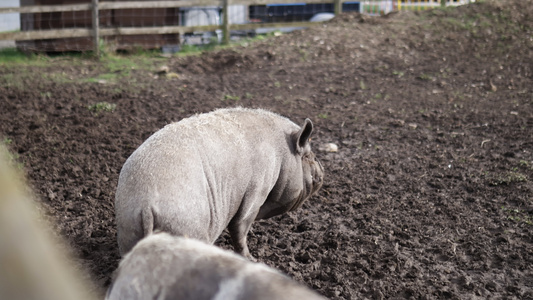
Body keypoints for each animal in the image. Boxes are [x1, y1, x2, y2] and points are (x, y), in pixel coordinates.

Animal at [115, 107, 324, 258]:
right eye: (307, 156)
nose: (322, 170)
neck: (282, 155)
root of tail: (145, 206)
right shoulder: (259, 186)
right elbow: (240, 225)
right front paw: (253, 259)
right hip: (186, 226)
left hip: (127, 232)